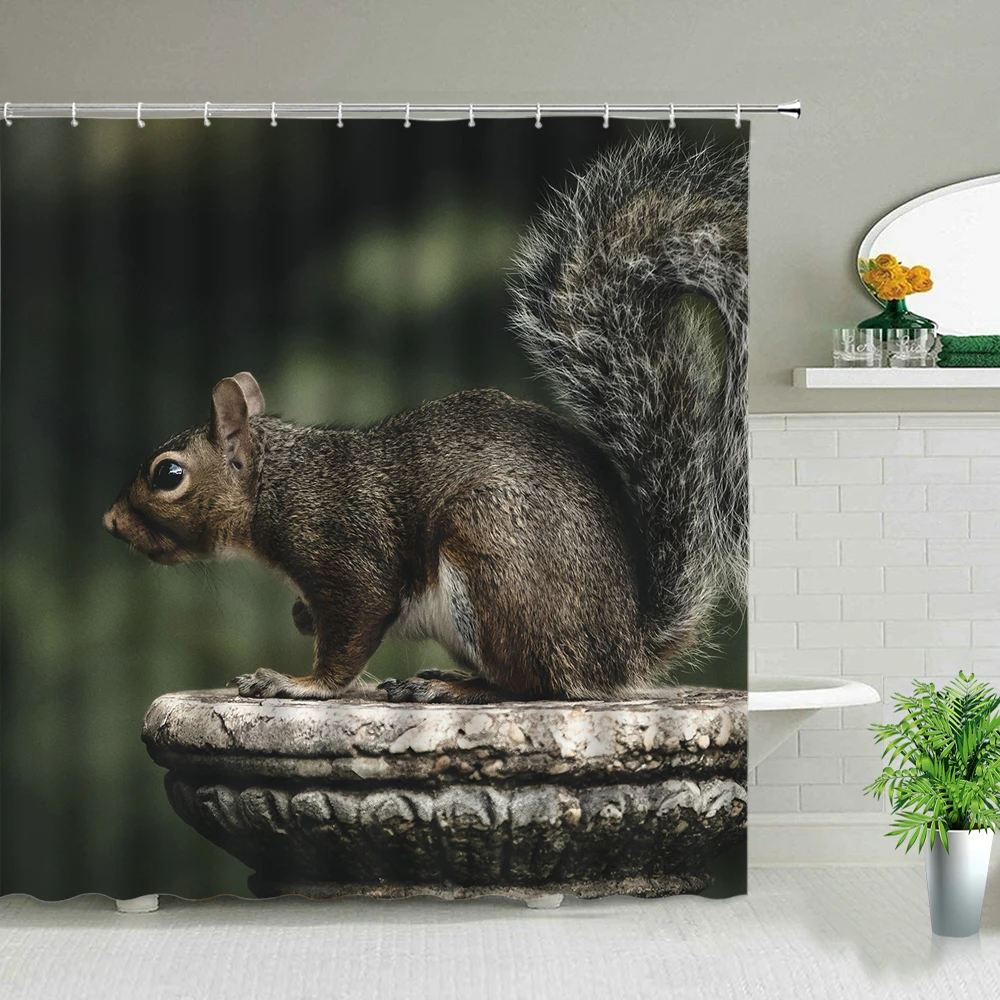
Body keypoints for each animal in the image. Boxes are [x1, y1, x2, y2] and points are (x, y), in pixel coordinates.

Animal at [103, 130, 747, 704]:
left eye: (168, 475)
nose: (110, 522)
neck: (279, 483)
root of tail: (622, 650)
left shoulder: (346, 552)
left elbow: (352, 634)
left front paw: (297, 683)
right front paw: (300, 621)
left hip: (493, 555)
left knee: (533, 683)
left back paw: (454, 687)